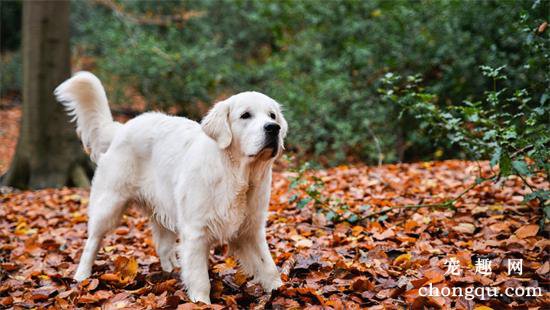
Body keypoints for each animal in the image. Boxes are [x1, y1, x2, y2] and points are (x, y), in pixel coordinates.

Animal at [54, 72, 288, 302]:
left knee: (163, 246)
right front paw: (202, 303)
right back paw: (81, 276)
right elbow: (200, 279)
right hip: (110, 203)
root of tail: (122, 128)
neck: (237, 176)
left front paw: (279, 291)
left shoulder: (251, 230)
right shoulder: (196, 232)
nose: (273, 128)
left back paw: (172, 271)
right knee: (92, 241)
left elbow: (268, 267)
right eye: (245, 115)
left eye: (272, 116)